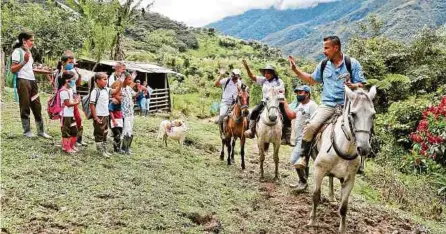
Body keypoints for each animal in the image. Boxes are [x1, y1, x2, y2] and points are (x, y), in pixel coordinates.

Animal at [306, 85, 376, 233]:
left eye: (373, 115)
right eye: (353, 114)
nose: (364, 148)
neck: (345, 147)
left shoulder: (349, 179)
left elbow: (344, 207)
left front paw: (342, 229)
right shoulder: (318, 170)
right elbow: (316, 196)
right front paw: (312, 221)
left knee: (331, 178)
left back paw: (332, 198)